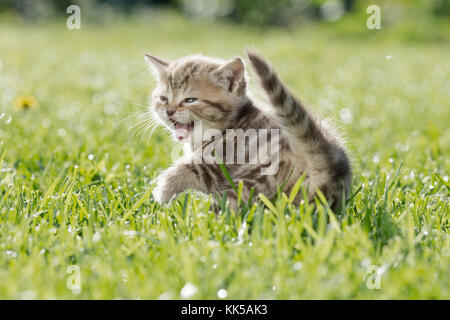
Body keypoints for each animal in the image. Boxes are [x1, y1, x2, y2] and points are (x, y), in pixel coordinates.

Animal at [146, 49, 350, 210]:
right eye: (163, 99)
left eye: (190, 100)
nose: (169, 111)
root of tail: (328, 161)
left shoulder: (223, 161)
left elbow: (193, 168)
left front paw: (163, 189)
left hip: (258, 181)